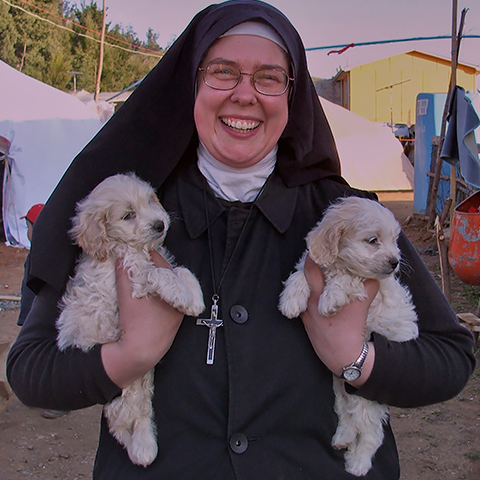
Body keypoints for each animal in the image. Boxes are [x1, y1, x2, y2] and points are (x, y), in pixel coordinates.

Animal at [56, 173, 204, 468]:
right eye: (127, 215)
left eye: (151, 201)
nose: (160, 224)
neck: (130, 247)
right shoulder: (134, 275)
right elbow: (159, 274)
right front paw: (183, 296)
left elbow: (181, 270)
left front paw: (195, 297)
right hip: (122, 390)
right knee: (120, 420)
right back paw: (141, 448)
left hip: (144, 387)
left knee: (139, 416)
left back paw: (145, 447)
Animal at [280, 197, 418, 478]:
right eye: (373, 240)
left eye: (394, 240)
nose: (395, 262)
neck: (339, 264)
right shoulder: (312, 265)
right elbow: (299, 273)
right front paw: (291, 300)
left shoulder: (368, 286)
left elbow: (348, 279)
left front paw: (330, 299)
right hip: (340, 390)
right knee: (346, 416)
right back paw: (341, 438)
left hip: (365, 399)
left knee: (372, 434)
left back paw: (358, 464)